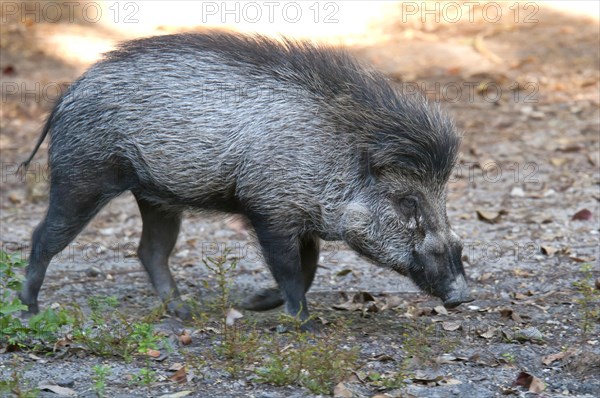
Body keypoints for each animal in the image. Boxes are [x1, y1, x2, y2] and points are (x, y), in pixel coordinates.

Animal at [19, 32, 474, 328]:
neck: (333, 157)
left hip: (157, 197)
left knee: (150, 251)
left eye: (442, 198)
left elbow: (309, 267)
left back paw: (184, 315)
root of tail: (67, 94)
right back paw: (30, 311)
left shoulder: (301, 218)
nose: (463, 295)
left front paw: (253, 304)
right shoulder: (268, 211)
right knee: (43, 237)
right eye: (406, 201)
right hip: (82, 177)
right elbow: (292, 270)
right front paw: (305, 324)